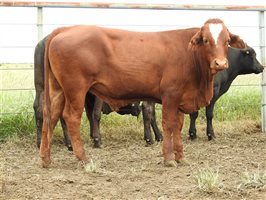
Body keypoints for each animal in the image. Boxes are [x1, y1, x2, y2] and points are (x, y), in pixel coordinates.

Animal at [33, 36, 162, 150]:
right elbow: (96, 114)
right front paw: (97, 140)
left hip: (41, 87)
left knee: (39, 109)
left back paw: (41, 142)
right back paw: (69, 144)